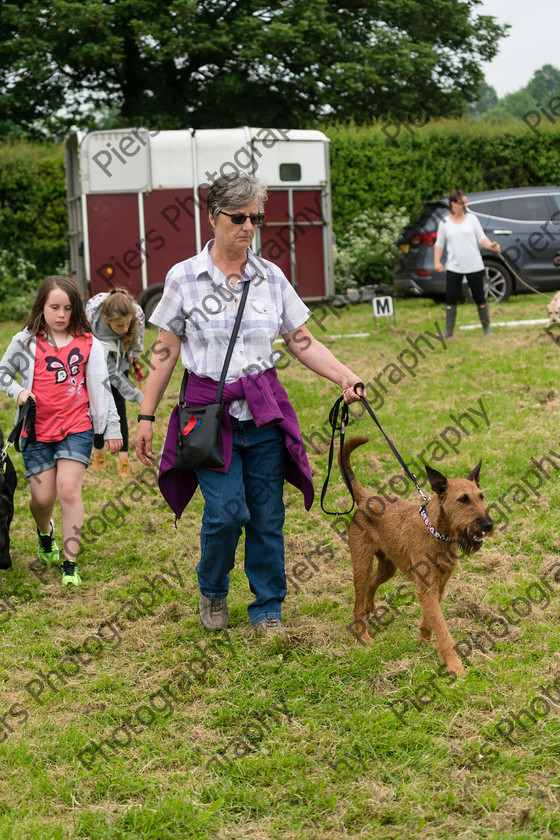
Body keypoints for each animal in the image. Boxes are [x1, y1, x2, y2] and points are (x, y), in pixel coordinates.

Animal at [340, 436, 492, 680]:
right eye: (463, 499)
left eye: (481, 497)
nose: (488, 525)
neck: (437, 533)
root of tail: (365, 500)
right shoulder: (427, 587)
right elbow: (442, 628)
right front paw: (454, 665)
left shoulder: (439, 585)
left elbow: (432, 619)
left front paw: (423, 640)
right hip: (361, 564)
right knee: (357, 604)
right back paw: (363, 636)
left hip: (388, 566)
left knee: (371, 585)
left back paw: (370, 607)